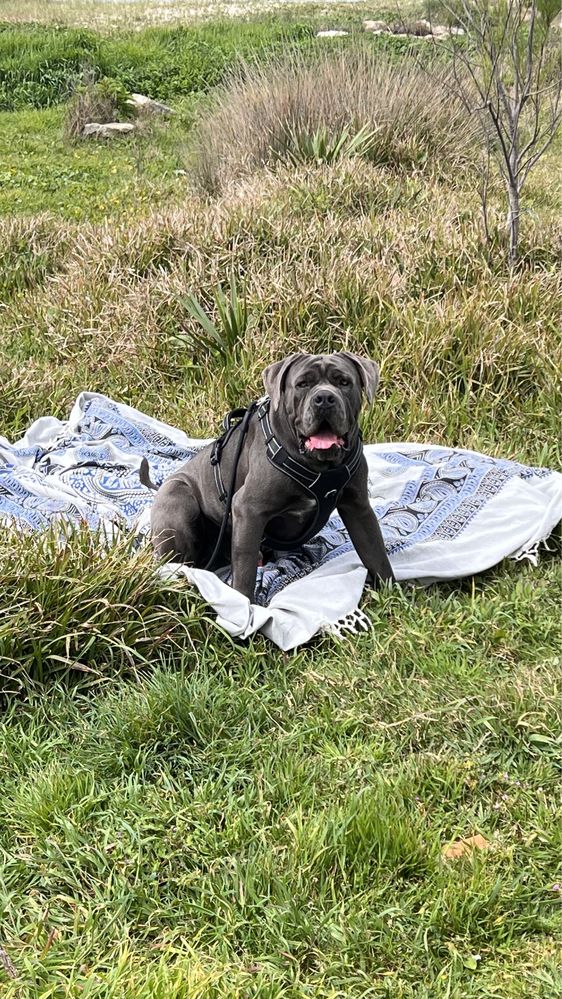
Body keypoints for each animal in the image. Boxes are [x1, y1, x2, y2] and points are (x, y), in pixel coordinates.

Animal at [142, 354, 392, 600]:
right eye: (302, 384)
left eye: (343, 382)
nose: (324, 398)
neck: (320, 467)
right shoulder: (248, 509)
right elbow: (245, 569)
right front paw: (244, 605)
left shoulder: (358, 507)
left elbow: (375, 552)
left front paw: (390, 591)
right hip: (178, 502)